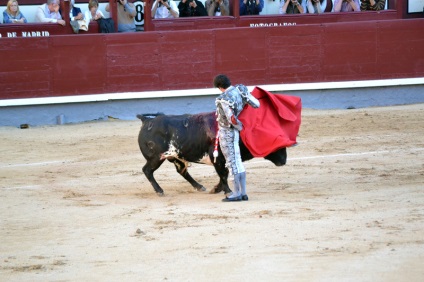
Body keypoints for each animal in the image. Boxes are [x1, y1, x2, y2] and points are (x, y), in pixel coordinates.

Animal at [137, 111, 288, 195]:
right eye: (276, 144)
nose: (284, 161)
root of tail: (147, 120)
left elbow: (224, 174)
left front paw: (216, 189)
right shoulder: (217, 158)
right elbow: (223, 175)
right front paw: (227, 191)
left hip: (176, 157)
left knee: (182, 171)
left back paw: (199, 187)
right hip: (156, 157)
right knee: (147, 170)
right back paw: (159, 191)